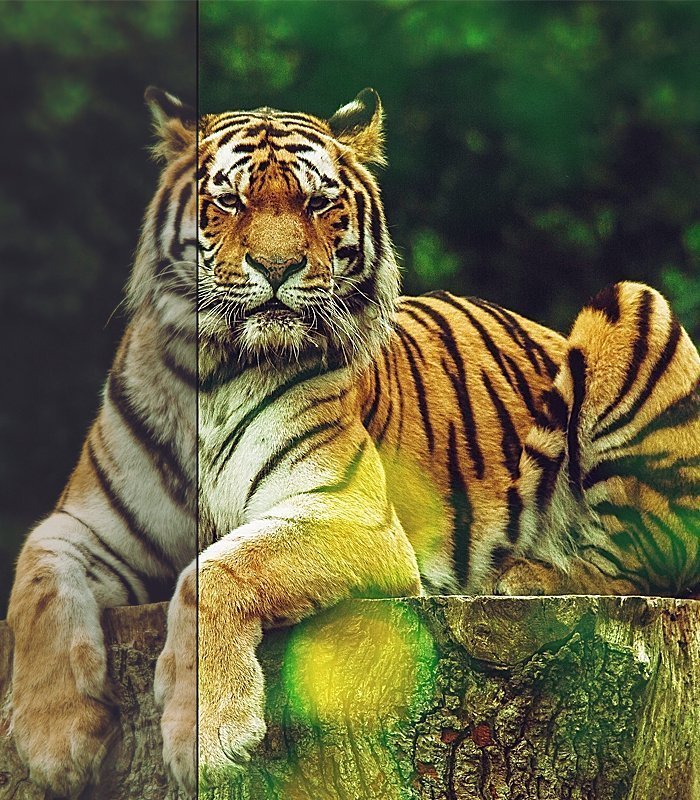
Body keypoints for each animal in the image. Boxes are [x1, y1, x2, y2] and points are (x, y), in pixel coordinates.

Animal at [8, 86, 700, 797]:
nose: (277, 268)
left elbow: (216, 570)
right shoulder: (88, 525)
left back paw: (523, 578)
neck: (214, 372)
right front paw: (51, 740)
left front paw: (207, 732)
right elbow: (35, 585)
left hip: (635, 306)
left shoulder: (352, 512)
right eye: (228, 200)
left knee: (640, 557)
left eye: (317, 202)